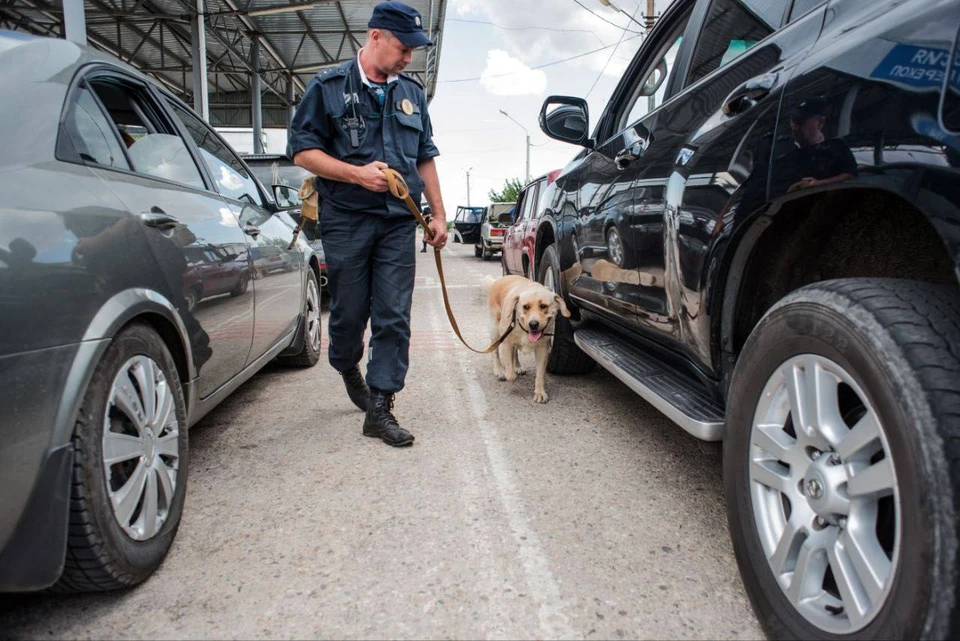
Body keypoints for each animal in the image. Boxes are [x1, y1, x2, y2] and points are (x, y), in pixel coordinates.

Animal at [484, 272, 568, 402]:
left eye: (543, 306)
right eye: (526, 307)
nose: (533, 324)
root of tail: (498, 280)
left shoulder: (542, 350)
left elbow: (540, 375)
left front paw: (540, 392)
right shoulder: (507, 344)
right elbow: (510, 375)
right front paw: (509, 374)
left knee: (515, 352)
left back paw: (517, 366)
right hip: (495, 331)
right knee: (495, 352)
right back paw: (498, 370)